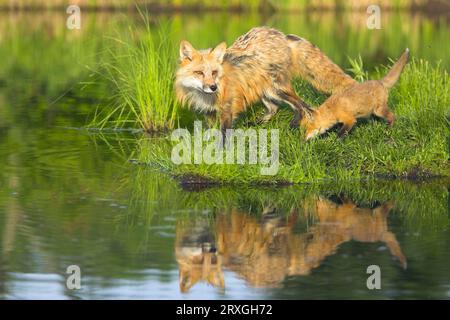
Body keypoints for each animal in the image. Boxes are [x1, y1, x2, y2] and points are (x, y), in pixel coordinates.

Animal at [176, 26, 356, 134]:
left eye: (214, 72)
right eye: (199, 73)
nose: (213, 87)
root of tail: (282, 35)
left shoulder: (228, 108)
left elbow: (224, 135)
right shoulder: (210, 112)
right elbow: (211, 131)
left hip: (276, 89)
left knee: (302, 105)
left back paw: (293, 126)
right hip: (263, 89)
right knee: (274, 108)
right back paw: (257, 124)